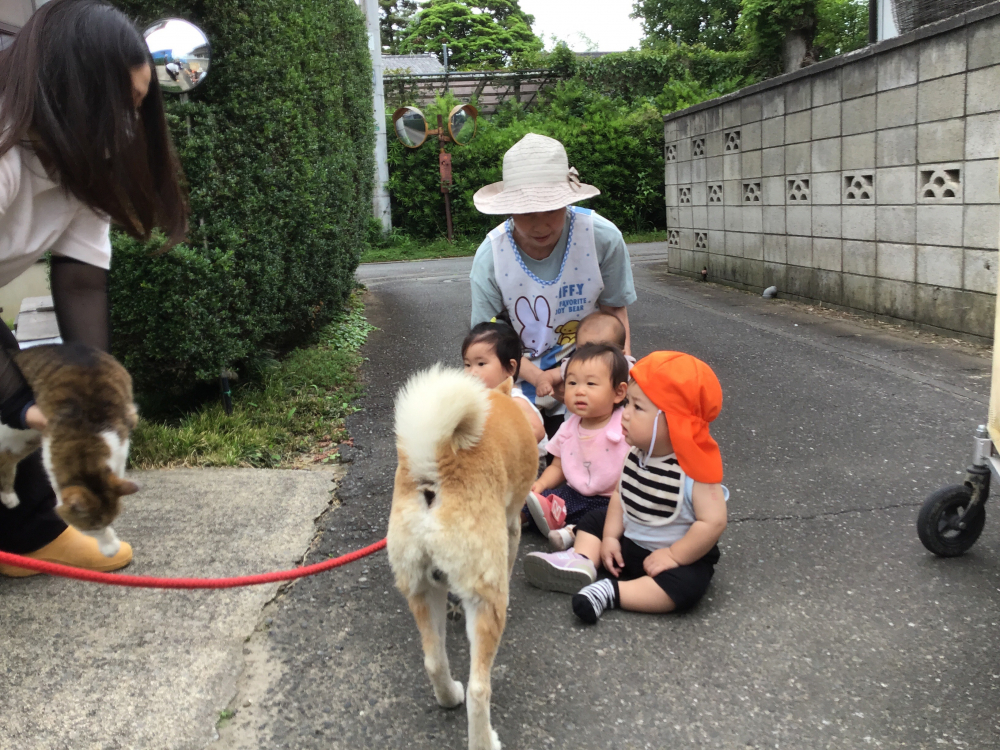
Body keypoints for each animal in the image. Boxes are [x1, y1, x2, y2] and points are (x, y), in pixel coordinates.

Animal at [2, 346, 139, 560]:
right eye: (91, 527)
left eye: (111, 520)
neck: (87, 447)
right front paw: (109, 546)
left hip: (26, 437)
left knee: (6, 459)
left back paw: (8, 496)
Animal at [384, 368, 540, 748]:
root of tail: (434, 467)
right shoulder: (512, 524)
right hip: (485, 601)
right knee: (479, 689)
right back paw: (484, 740)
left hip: (421, 589)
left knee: (434, 661)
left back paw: (449, 696)